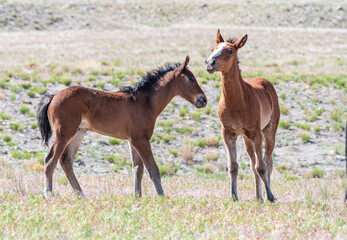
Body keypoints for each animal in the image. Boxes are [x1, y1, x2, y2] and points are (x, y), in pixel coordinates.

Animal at [38, 55, 207, 197]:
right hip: (64, 133)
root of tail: (53, 96)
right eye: (191, 78)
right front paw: (161, 196)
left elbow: (138, 169)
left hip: (78, 133)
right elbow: (153, 169)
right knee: (50, 160)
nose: (203, 99)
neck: (146, 103)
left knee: (66, 161)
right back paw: (49, 194)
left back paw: (81, 195)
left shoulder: (132, 141)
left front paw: (137, 197)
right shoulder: (141, 140)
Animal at [205, 30, 282, 202]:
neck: (236, 101)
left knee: (267, 162)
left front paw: (271, 196)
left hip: (269, 131)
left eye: (230, 51)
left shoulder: (256, 133)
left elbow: (262, 167)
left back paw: (267, 195)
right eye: (213, 48)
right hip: (247, 139)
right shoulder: (228, 133)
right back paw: (258, 197)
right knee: (254, 164)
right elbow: (233, 166)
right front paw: (234, 196)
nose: (210, 63)